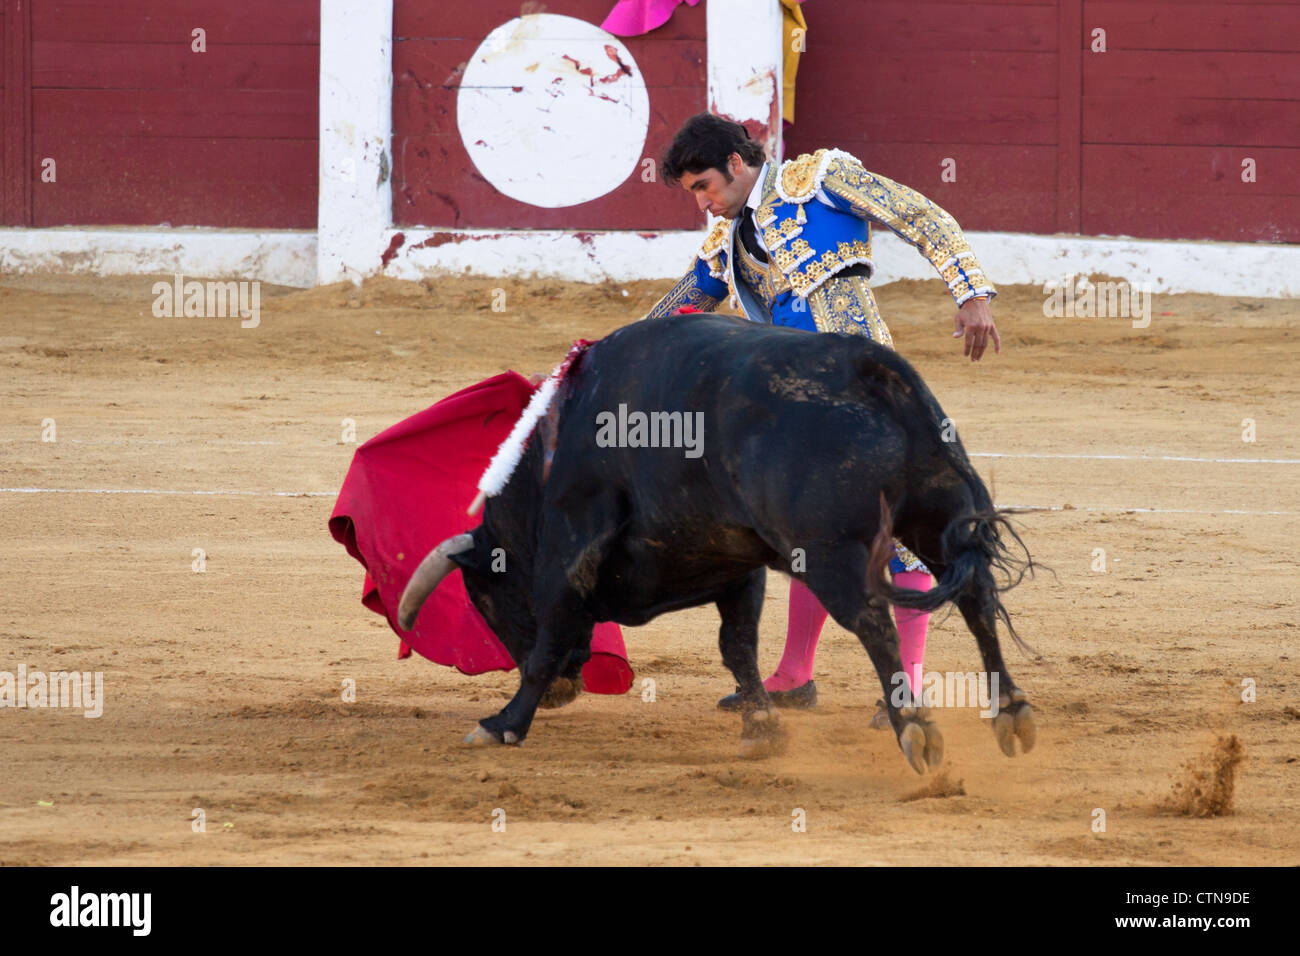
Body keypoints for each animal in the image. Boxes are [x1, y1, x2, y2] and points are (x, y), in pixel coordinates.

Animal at [395, 316, 1034, 780]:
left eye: (486, 598)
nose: (560, 696)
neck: (550, 454)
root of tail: (866, 366)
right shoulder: (736, 563)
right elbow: (738, 646)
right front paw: (762, 727)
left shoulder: (568, 546)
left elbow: (550, 636)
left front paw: (503, 722)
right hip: (936, 517)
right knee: (977, 599)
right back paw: (1012, 714)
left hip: (830, 551)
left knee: (876, 621)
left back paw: (914, 728)